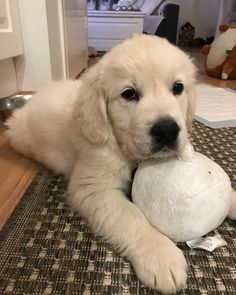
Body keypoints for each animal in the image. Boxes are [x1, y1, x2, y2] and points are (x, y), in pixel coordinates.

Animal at [6, 34, 236, 294]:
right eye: (129, 94)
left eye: (178, 87)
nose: (167, 130)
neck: (123, 146)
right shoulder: (94, 187)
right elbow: (131, 216)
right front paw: (161, 256)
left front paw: (232, 199)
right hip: (20, 138)